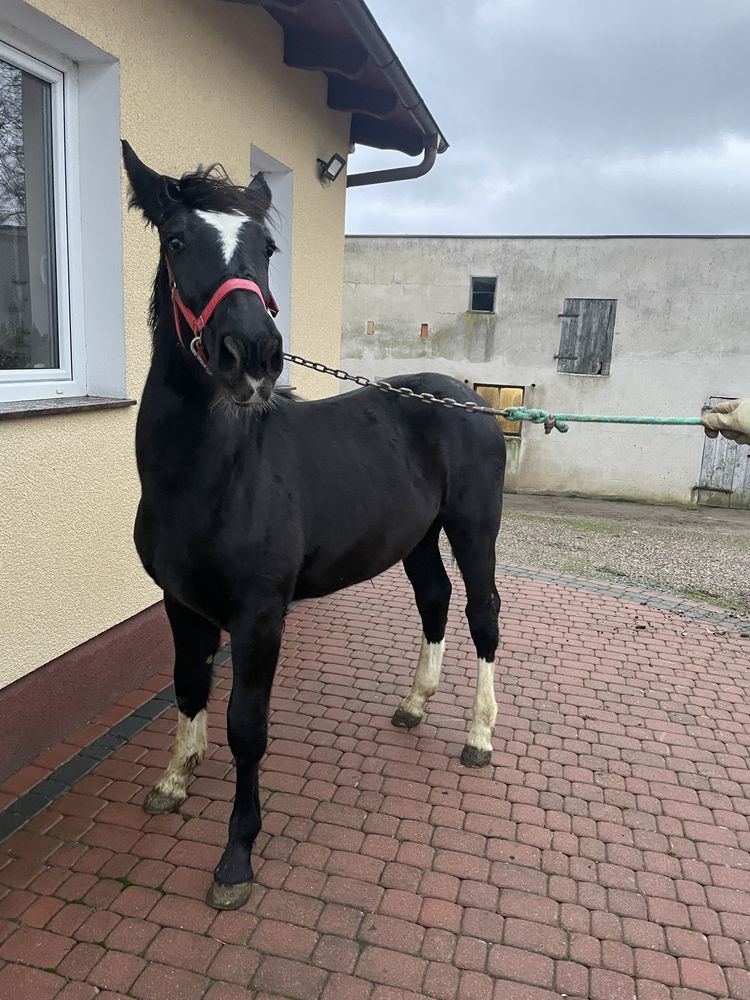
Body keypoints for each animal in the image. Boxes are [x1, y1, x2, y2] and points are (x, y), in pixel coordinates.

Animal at [123, 143, 508, 916]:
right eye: (176, 241)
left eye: (267, 248)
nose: (252, 354)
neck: (214, 474)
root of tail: (470, 399)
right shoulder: (180, 604)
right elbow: (187, 685)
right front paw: (175, 779)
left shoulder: (261, 616)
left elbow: (247, 730)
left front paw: (236, 858)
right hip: (418, 539)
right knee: (436, 601)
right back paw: (413, 705)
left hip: (474, 529)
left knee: (482, 613)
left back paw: (479, 736)